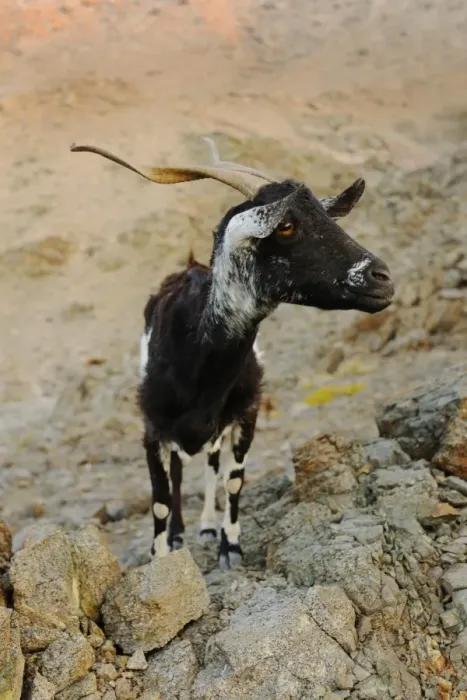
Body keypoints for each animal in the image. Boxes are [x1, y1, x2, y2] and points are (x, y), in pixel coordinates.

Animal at [70, 138, 395, 568]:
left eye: (329, 218)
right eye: (286, 225)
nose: (383, 279)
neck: (195, 360)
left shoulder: (247, 413)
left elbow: (235, 479)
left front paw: (231, 547)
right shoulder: (152, 429)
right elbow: (160, 499)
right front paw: (161, 558)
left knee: (211, 464)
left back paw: (208, 527)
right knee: (179, 473)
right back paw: (179, 535)